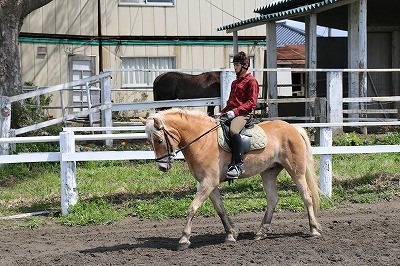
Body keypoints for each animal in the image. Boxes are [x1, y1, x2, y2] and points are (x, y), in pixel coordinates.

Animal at [141, 108, 322, 249]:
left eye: (159, 140)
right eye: (149, 141)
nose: (162, 167)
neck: (202, 141)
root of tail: (293, 128)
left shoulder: (208, 182)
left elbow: (192, 208)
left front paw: (184, 239)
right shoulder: (209, 184)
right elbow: (220, 209)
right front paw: (231, 234)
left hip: (296, 170)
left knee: (306, 196)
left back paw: (313, 230)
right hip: (269, 172)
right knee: (272, 199)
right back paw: (261, 232)